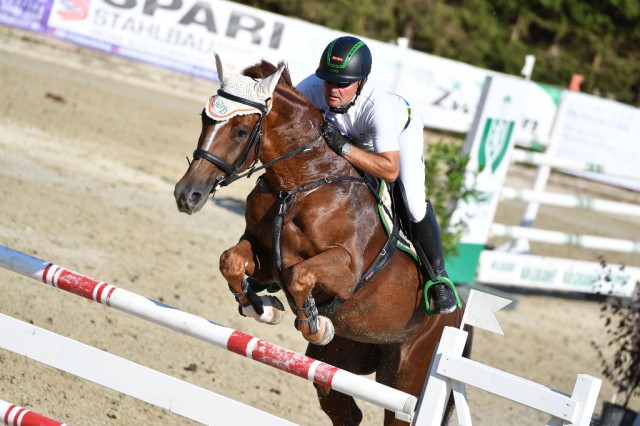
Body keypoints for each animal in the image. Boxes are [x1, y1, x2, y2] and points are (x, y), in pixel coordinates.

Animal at [174, 54, 470, 426]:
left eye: (241, 130)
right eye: (204, 118)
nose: (187, 195)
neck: (299, 183)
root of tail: (459, 320)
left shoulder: (346, 271)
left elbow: (301, 277)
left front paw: (313, 324)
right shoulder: (265, 256)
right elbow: (231, 261)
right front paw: (261, 307)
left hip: (408, 379)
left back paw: (441, 294)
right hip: (341, 359)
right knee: (346, 412)